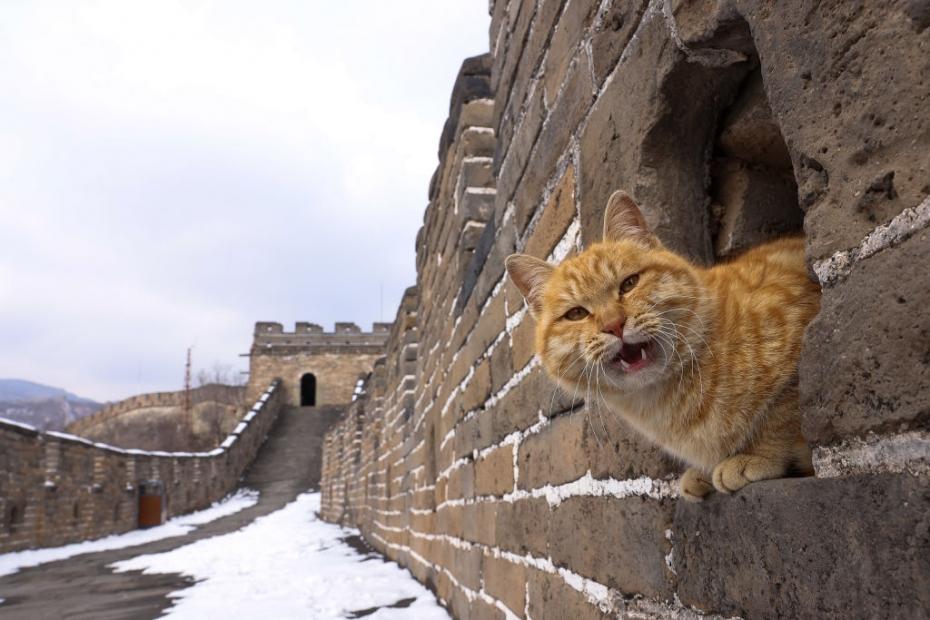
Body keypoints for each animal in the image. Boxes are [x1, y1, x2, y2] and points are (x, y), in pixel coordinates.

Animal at [508, 191, 820, 502]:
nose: (614, 324)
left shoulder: (795, 356)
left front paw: (757, 457)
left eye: (629, 283)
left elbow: (781, 419)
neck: (666, 399)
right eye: (576, 314)